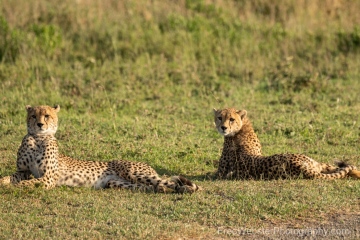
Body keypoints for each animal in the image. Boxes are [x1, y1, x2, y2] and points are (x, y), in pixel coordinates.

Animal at [0, 105, 201, 193]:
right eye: (33, 116)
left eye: (47, 115)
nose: (40, 124)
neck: (37, 138)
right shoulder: (23, 171)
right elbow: (10, 177)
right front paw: (5, 182)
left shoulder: (48, 177)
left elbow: (26, 183)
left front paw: (14, 186)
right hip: (117, 183)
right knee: (155, 186)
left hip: (134, 173)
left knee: (169, 183)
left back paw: (186, 189)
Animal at [212, 108, 360, 179]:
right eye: (219, 118)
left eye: (231, 119)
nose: (223, 128)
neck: (242, 128)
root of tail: (298, 165)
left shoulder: (219, 174)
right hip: (316, 164)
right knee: (344, 168)